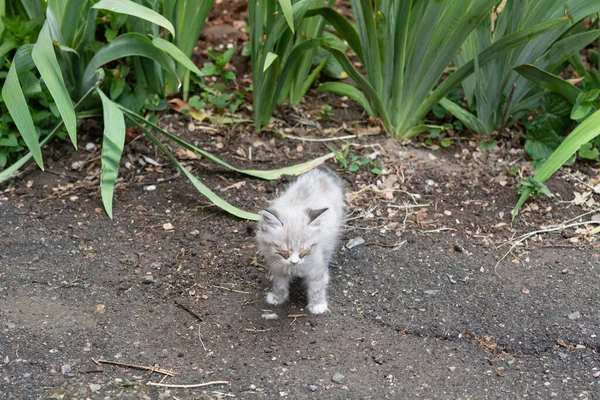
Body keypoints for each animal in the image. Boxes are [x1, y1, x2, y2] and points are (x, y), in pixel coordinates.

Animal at [255, 166, 344, 316]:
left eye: (304, 251)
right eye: (283, 251)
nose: (294, 261)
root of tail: (321, 172)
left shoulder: (315, 264)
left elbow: (316, 286)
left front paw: (318, 305)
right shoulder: (278, 266)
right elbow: (279, 284)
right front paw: (278, 297)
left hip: (330, 241)